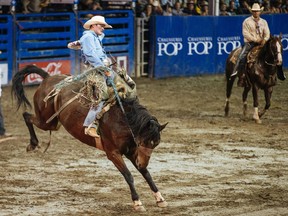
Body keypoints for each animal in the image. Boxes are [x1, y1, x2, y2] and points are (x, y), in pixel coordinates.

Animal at [11, 65, 169, 211]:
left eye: (155, 144)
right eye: (144, 141)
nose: (142, 163)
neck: (122, 120)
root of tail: (48, 78)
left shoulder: (132, 152)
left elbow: (146, 173)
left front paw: (160, 198)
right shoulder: (113, 153)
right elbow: (128, 175)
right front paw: (137, 202)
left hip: (53, 123)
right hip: (45, 121)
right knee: (26, 116)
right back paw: (32, 144)